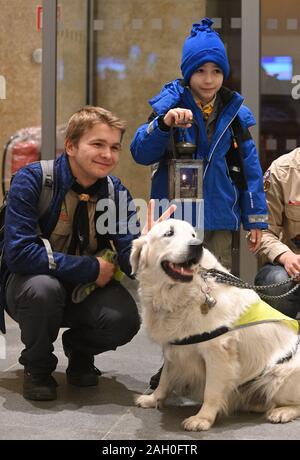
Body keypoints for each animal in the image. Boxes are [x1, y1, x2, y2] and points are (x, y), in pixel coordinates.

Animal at [131, 219, 300, 432]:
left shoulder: (217, 352)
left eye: (193, 235)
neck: (182, 293)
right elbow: (165, 379)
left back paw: (281, 412)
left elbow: (211, 391)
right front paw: (153, 399)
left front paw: (202, 419)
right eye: (169, 233)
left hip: (280, 373)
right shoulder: (174, 348)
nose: (197, 246)